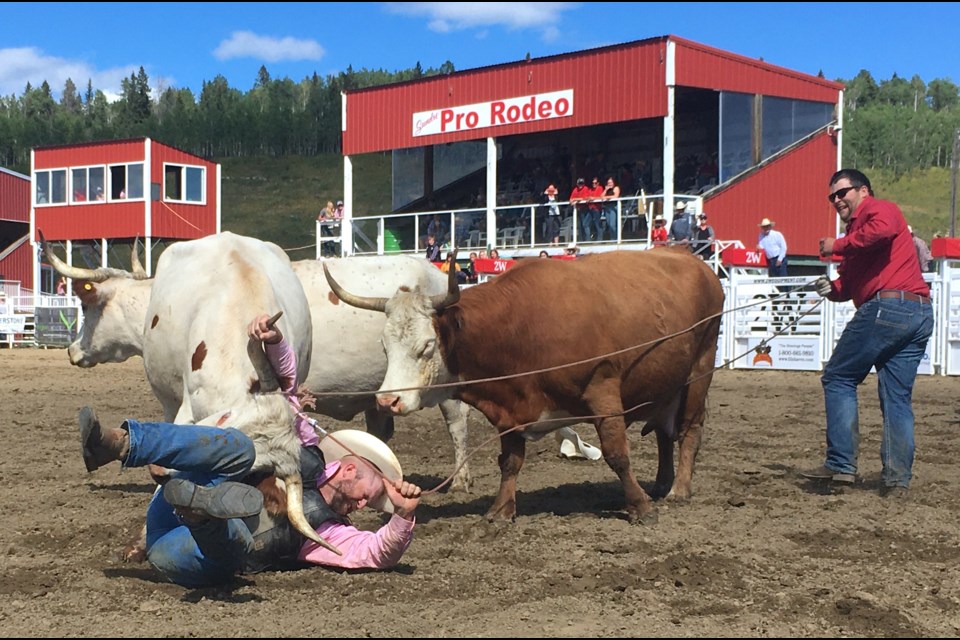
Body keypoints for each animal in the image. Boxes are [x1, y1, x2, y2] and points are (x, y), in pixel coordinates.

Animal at [322, 250, 720, 524]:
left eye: (427, 346)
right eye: (384, 347)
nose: (387, 401)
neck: (525, 326)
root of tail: (695, 262)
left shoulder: (603, 389)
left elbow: (617, 454)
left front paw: (640, 507)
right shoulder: (509, 409)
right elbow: (510, 461)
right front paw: (501, 510)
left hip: (699, 371)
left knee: (690, 430)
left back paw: (679, 490)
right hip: (667, 384)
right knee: (665, 433)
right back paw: (662, 483)